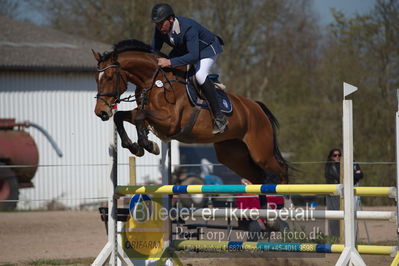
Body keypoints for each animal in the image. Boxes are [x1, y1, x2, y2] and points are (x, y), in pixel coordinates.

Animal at [92, 40, 290, 185]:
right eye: (96, 78)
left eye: (109, 77)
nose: (101, 112)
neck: (155, 81)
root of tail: (257, 107)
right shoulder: (149, 114)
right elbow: (122, 116)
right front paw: (135, 146)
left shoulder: (171, 121)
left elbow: (140, 116)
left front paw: (147, 144)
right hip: (233, 154)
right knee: (258, 177)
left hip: (261, 152)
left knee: (281, 169)